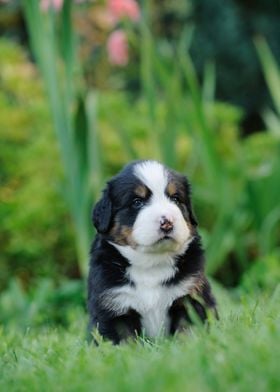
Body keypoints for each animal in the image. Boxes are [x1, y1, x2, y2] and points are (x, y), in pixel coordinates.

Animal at [87, 159, 217, 344]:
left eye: (175, 198)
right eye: (137, 202)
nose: (167, 222)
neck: (152, 264)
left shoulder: (191, 296)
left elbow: (187, 333)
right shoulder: (113, 306)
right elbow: (125, 342)